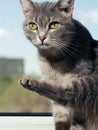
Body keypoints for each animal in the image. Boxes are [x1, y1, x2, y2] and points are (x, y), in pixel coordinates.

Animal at [19, 0, 98, 129]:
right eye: (32, 25)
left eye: (54, 25)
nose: (41, 37)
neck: (54, 59)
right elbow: (60, 117)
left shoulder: (81, 75)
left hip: (90, 84)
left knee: (67, 93)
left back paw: (31, 81)